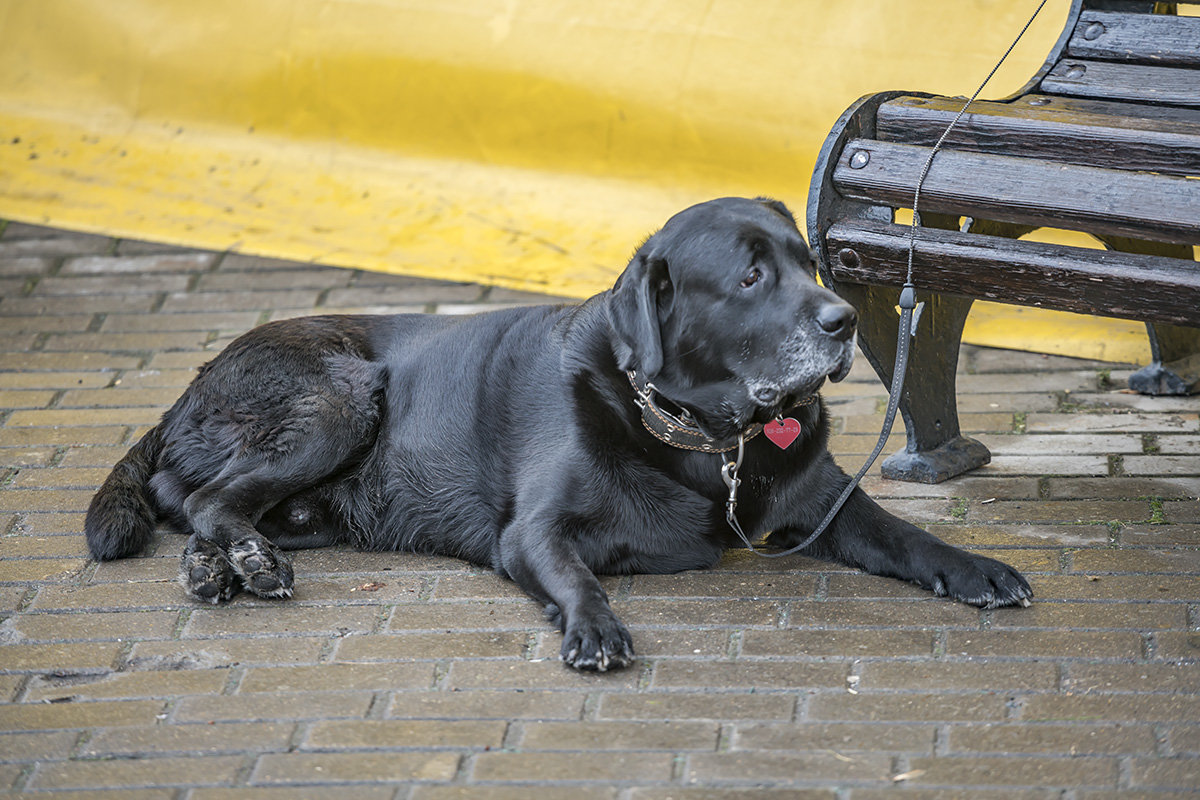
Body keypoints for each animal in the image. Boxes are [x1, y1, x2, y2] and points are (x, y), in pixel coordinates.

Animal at [87, 199, 1032, 671]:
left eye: (810, 262)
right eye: (751, 276)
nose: (842, 322)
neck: (706, 443)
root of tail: (188, 388)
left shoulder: (827, 499)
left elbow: (904, 532)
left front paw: (977, 569)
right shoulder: (533, 531)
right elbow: (576, 574)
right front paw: (595, 628)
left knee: (201, 502)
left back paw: (218, 565)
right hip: (339, 398)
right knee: (203, 495)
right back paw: (240, 562)